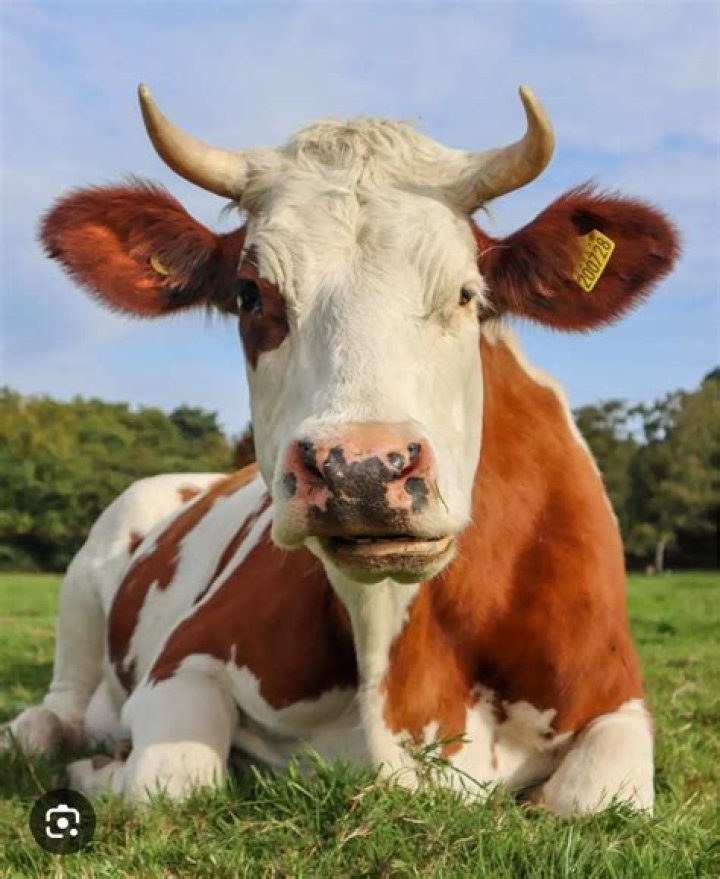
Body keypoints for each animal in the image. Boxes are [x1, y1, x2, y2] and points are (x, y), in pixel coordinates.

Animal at [6, 85, 679, 814]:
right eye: (251, 295)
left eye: (467, 294)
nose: (360, 469)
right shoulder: (187, 654)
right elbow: (172, 777)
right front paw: (97, 769)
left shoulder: (616, 694)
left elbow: (595, 793)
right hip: (93, 559)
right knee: (64, 699)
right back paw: (39, 731)